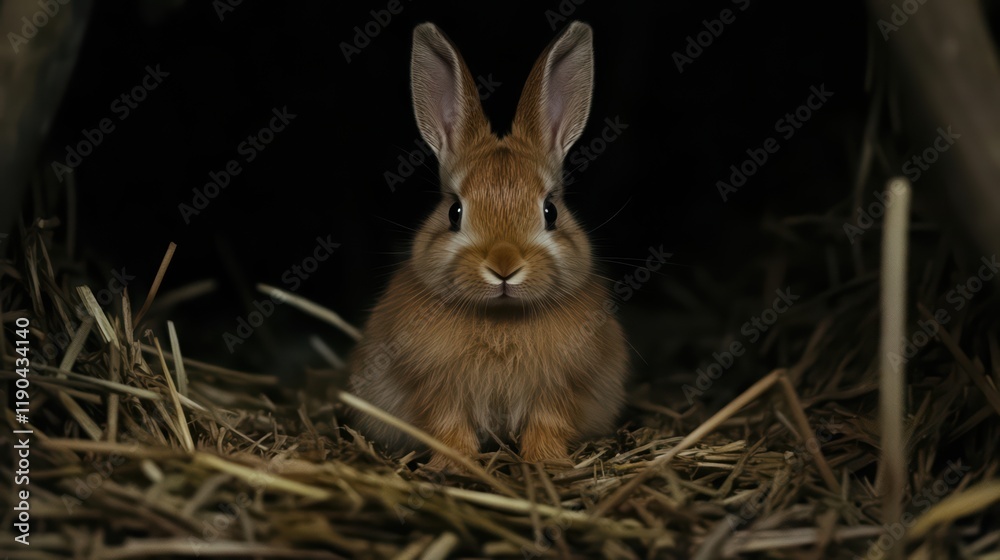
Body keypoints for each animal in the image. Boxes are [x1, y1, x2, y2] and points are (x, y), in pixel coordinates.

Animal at [348, 20, 628, 469]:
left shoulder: (558, 390)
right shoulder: (438, 390)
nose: (503, 265)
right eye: (454, 212)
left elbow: (548, 423)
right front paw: (454, 465)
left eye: (550, 211)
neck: (501, 320)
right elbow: (448, 426)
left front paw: (546, 462)